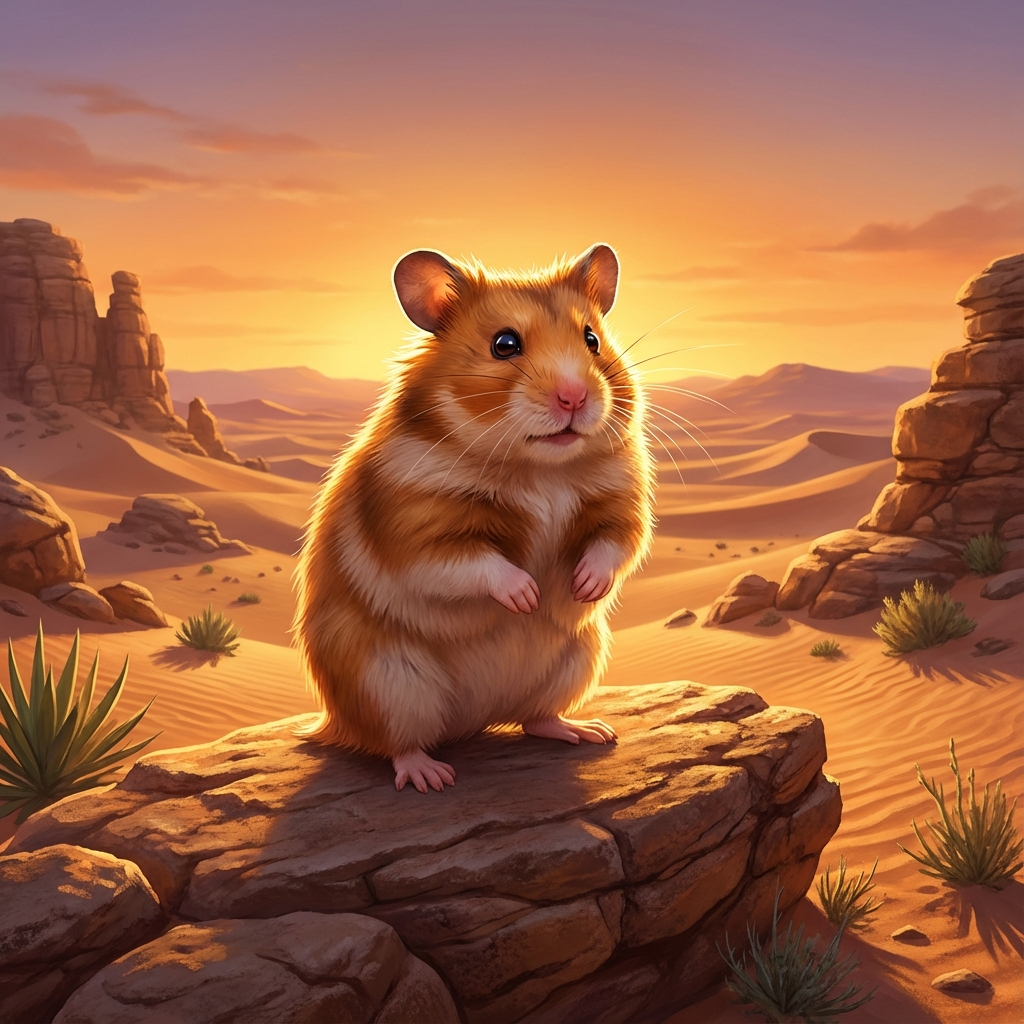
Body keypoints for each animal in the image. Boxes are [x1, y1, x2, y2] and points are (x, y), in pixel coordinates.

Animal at [293, 244, 654, 792]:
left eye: (592, 339)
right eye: (504, 344)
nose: (574, 397)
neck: (539, 470)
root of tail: (475, 720)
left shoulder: (623, 501)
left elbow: (616, 543)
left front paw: (582, 586)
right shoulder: (413, 527)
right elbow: (469, 564)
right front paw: (527, 597)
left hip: (578, 659)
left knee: (535, 718)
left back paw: (589, 731)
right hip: (388, 683)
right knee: (397, 744)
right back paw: (432, 777)